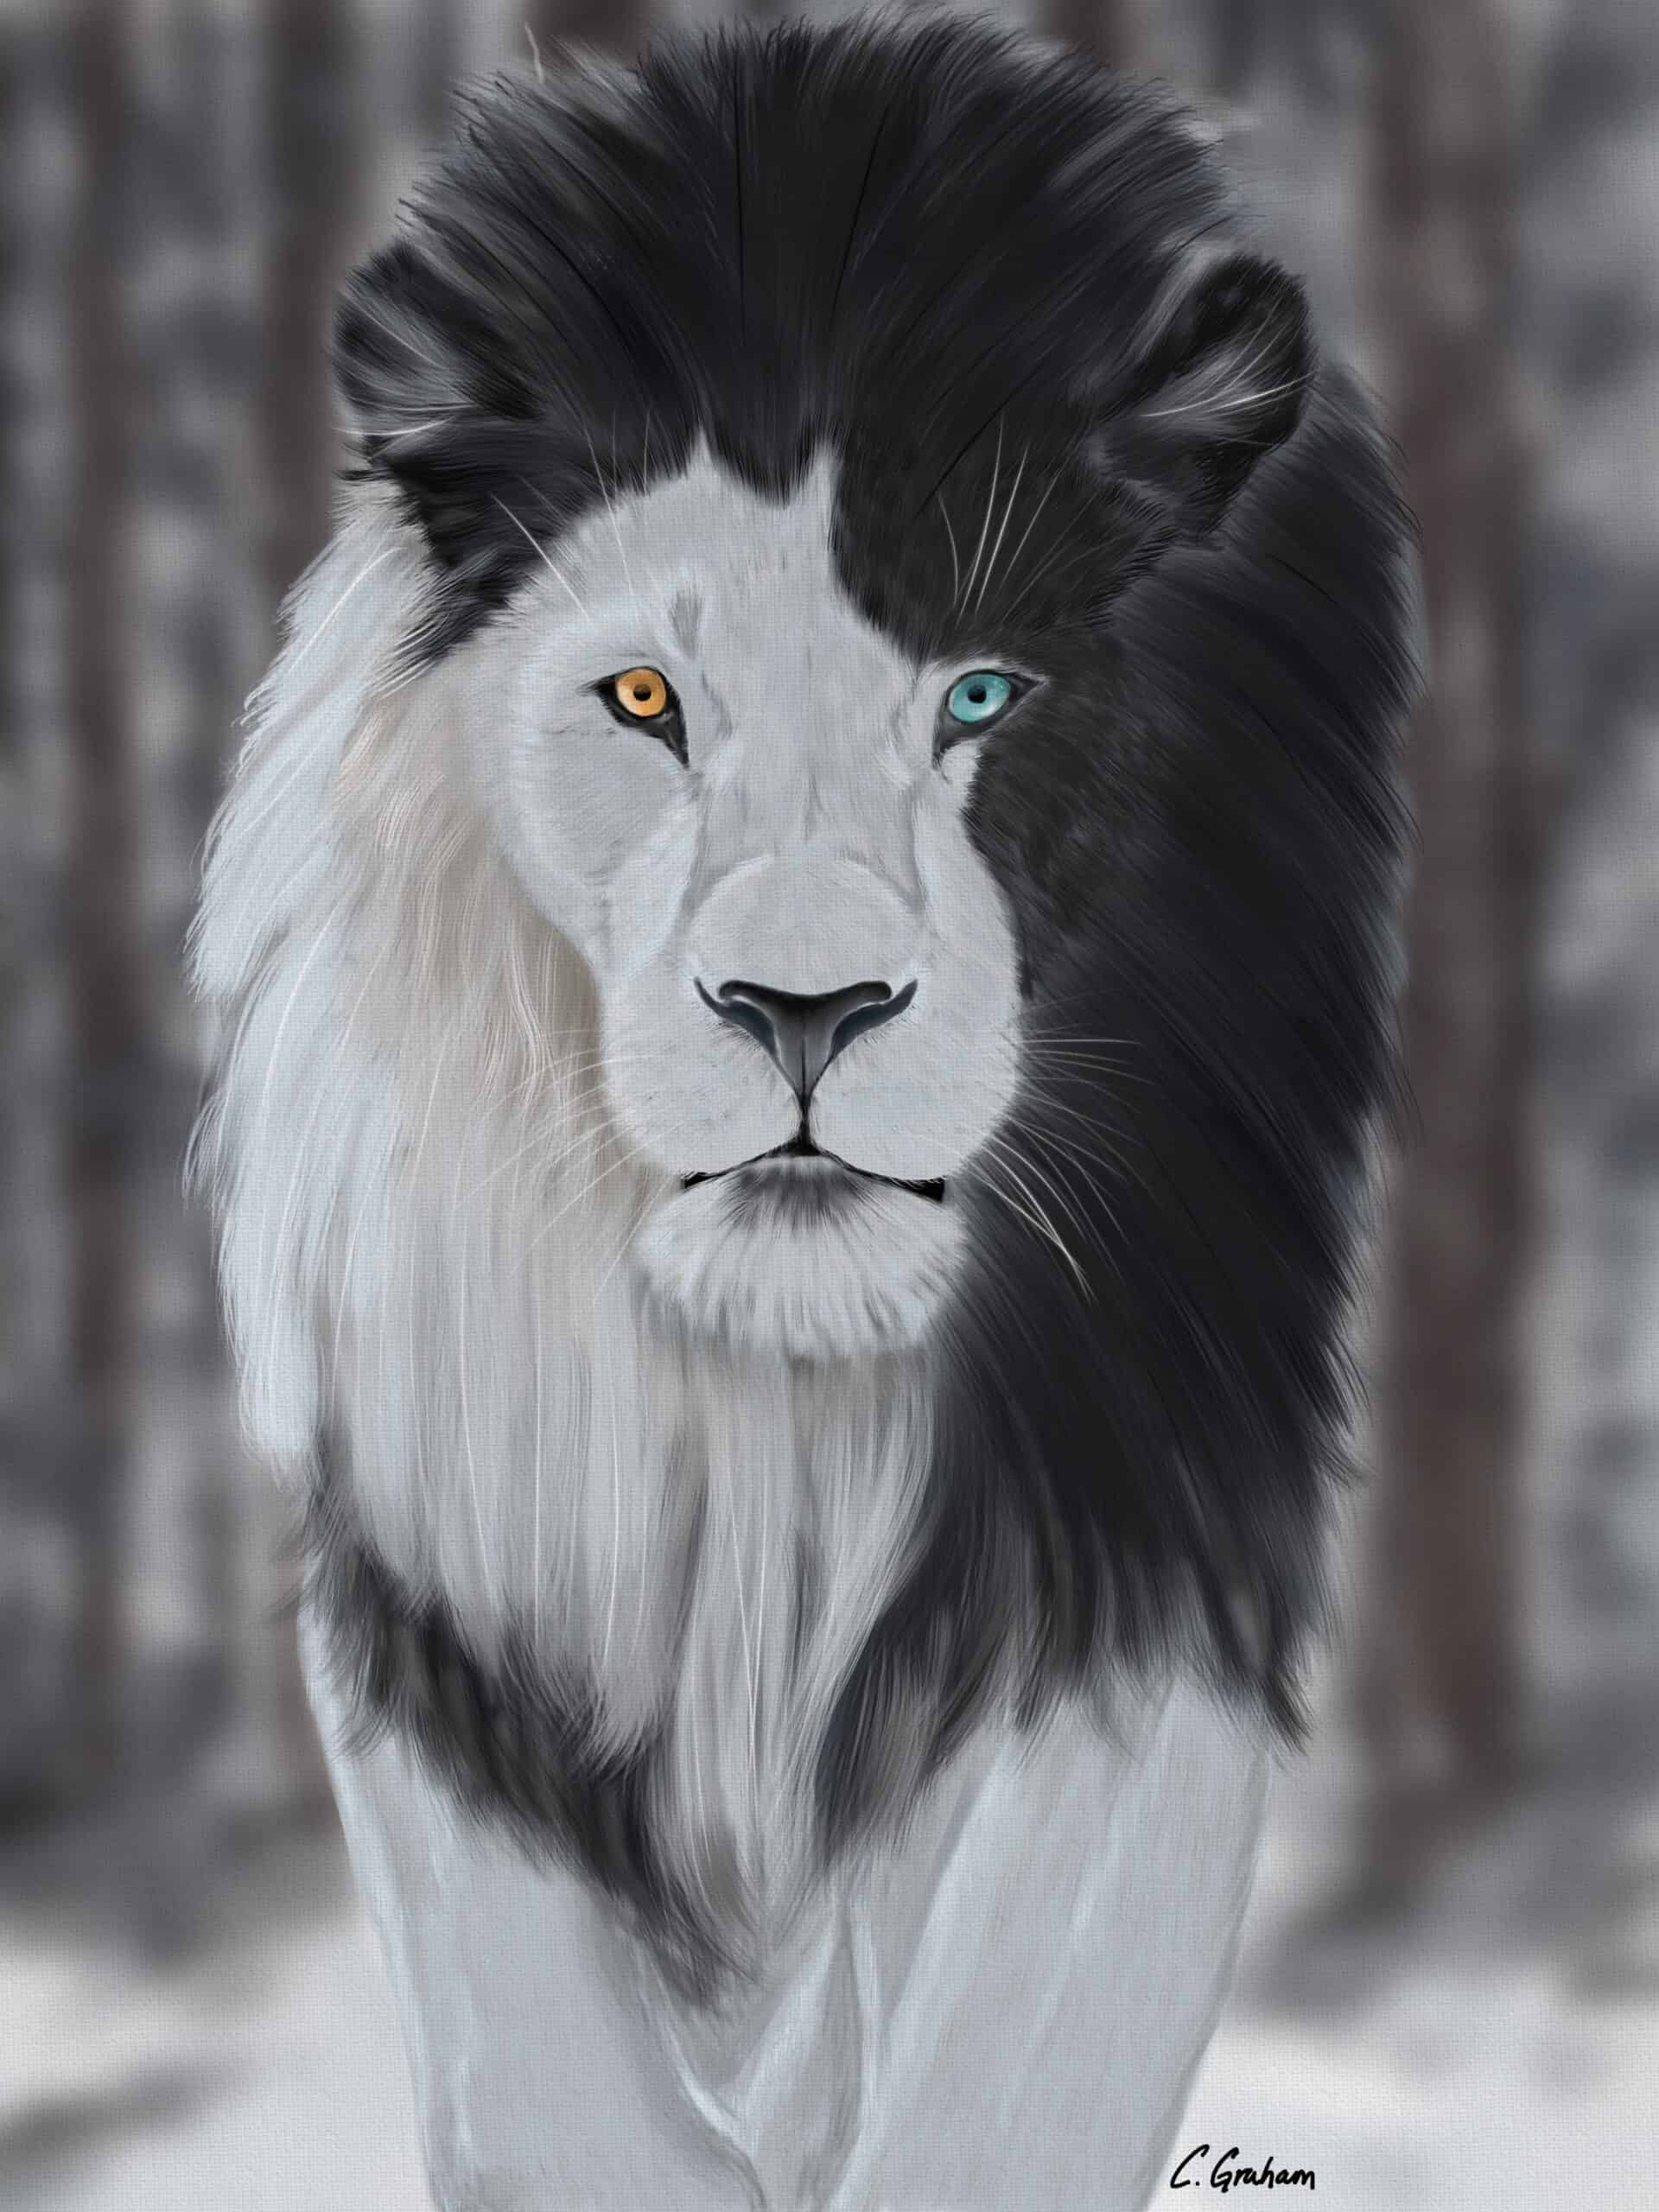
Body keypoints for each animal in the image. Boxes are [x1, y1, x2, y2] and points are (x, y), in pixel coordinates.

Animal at [189, 14, 1416, 2208]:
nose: (805, 1008)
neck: (771, 1408)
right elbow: (556, 2086)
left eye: (984, 696)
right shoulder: (442, 1618)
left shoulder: (1143, 1538)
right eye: (645, 699)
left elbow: (1013, 2071)